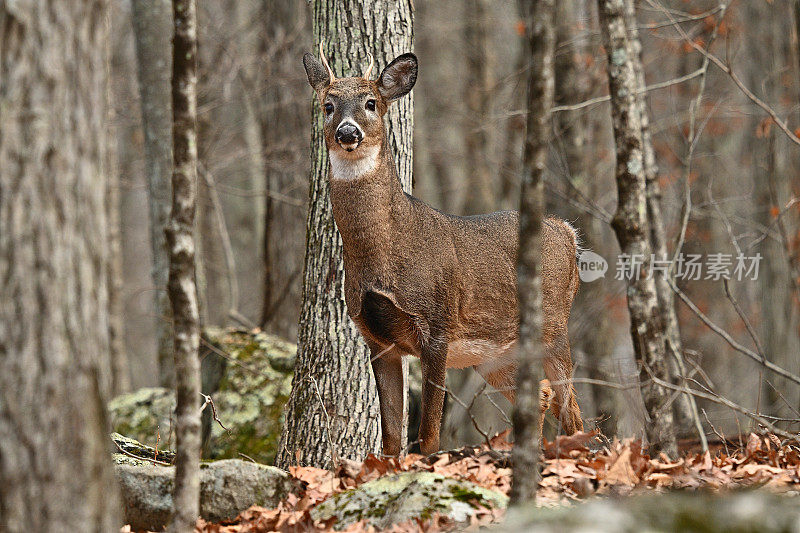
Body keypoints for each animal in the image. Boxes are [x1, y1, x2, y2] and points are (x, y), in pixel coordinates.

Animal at [304, 45, 584, 456]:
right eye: (328, 105)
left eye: (371, 103)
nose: (348, 132)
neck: (387, 252)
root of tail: (566, 231)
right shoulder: (377, 339)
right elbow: (391, 435)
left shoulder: (437, 323)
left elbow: (429, 432)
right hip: (495, 353)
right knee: (543, 396)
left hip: (554, 323)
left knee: (570, 406)